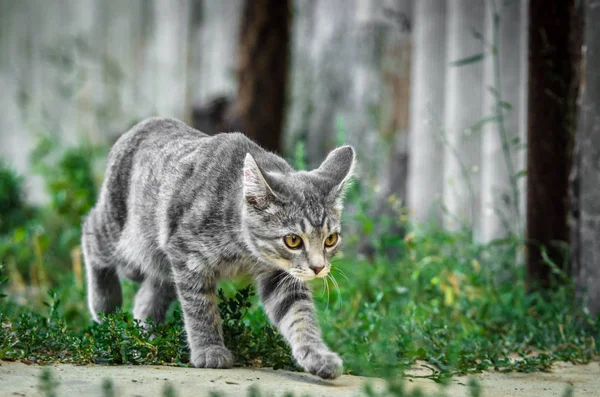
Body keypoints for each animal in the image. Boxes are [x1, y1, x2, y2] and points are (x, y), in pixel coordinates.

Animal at [85, 117, 356, 378]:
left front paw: (316, 355)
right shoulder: (187, 256)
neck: (244, 250)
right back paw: (105, 306)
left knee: (149, 294)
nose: (318, 267)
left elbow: (298, 314)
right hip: (123, 231)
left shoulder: (279, 274)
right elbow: (200, 307)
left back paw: (147, 334)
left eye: (330, 239)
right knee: (91, 233)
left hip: (160, 259)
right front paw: (209, 349)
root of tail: (142, 125)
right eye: (293, 240)